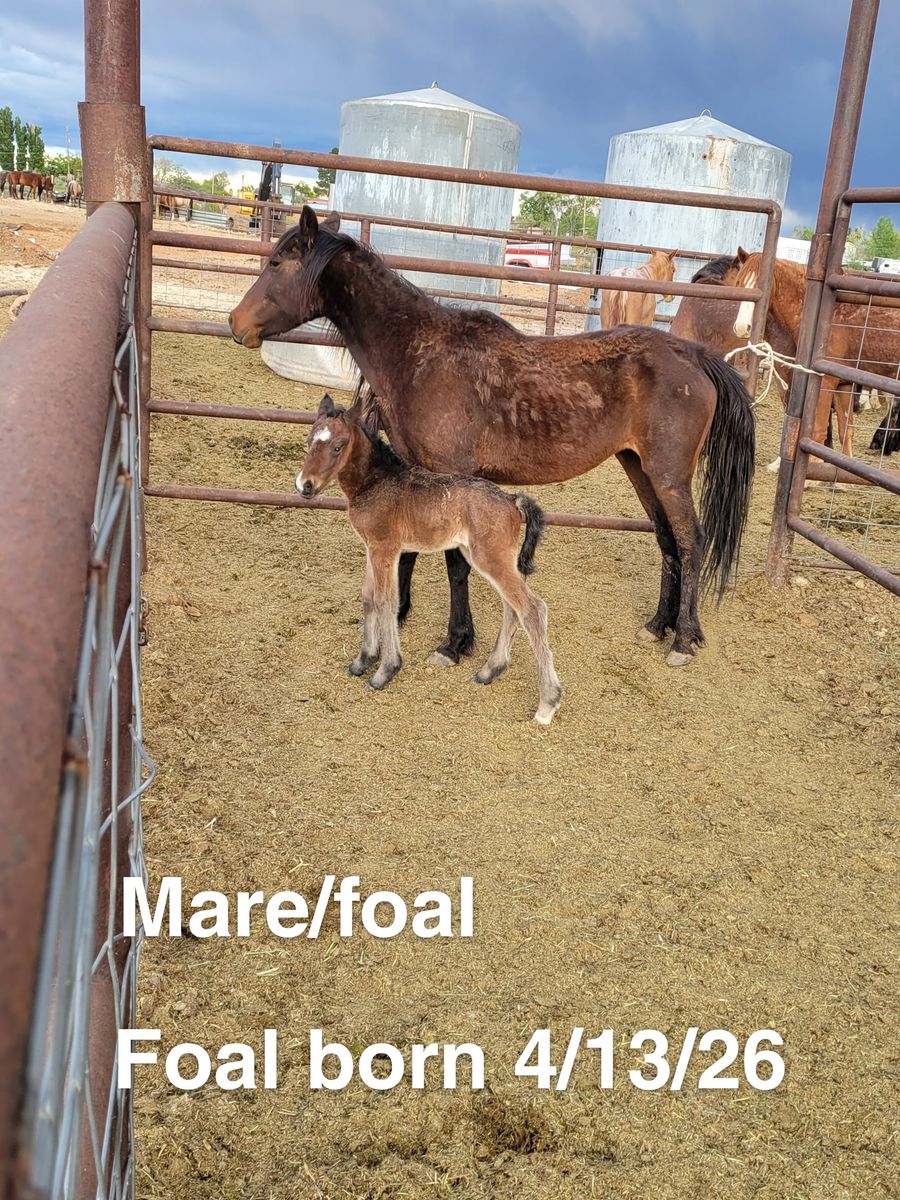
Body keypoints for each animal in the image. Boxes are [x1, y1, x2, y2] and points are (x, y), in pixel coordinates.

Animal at [230, 207, 756, 668]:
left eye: (276, 262)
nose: (236, 324)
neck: (419, 354)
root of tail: (692, 355)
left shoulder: (453, 476)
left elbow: (455, 563)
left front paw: (454, 643)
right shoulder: (418, 472)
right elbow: (409, 548)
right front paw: (400, 612)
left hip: (668, 474)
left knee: (691, 540)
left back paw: (683, 639)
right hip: (639, 466)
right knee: (667, 539)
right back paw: (657, 625)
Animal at [297, 395, 562, 723]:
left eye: (338, 445)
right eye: (309, 439)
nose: (305, 485)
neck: (377, 482)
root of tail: (513, 500)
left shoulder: (385, 548)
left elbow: (386, 601)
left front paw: (385, 671)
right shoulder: (372, 548)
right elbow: (368, 597)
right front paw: (363, 660)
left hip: (491, 558)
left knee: (532, 609)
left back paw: (547, 703)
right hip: (490, 559)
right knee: (512, 608)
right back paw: (490, 670)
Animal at [734, 252, 900, 459]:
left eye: (765, 285)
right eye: (739, 281)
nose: (742, 328)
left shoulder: (825, 382)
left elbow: (817, 432)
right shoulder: (844, 384)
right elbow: (845, 431)